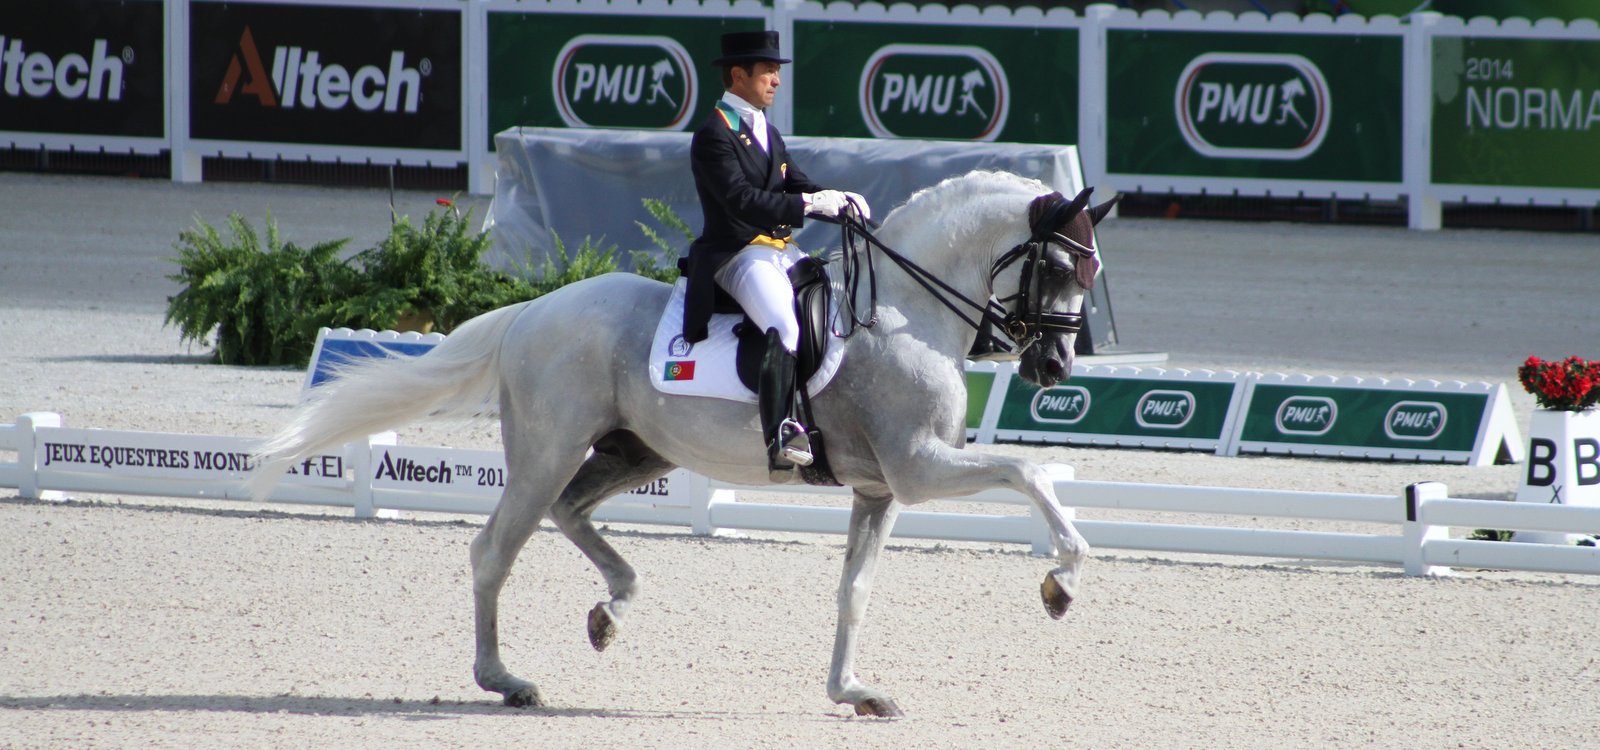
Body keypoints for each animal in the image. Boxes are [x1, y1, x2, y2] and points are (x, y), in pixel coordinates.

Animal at [256, 167, 1120, 713]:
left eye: (1091, 271)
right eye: (1055, 264)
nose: (1053, 366)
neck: (906, 308)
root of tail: (532, 311)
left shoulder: (880, 489)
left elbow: (855, 592)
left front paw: (853, 693)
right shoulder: (918, 468)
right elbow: (1030, 470)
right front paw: (1062, 582)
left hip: (636, 449)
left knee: (572, 514)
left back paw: (611, 610)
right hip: (548, 449)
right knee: (496, 548)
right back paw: (506, 680)